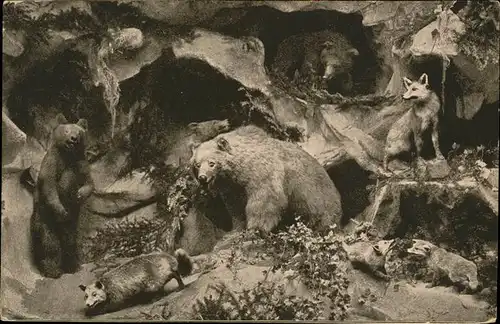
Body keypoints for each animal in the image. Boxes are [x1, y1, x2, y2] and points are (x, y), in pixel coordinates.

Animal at [30, 112, 94, 278]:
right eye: (66, 130)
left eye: (79, 132)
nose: (73, 138)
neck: (68, 156)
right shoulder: (52, 162)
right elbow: (50, 185)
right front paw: (61, 208)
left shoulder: (81, 163)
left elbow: (89, 182)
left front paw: (80, 194)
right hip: (43, 218)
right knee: (49, 242)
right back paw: (53, 270)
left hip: (71, 224)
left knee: (69, 240)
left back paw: (73, 266)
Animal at [189, 124, 342, 233]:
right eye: (197, 164)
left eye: (211, 163)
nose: (202, 177)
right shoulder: (233, 187)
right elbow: (236, 209)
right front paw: (236, 230)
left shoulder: (264, 174)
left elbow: (265, 199)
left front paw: (256, 227)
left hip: (316, 197)